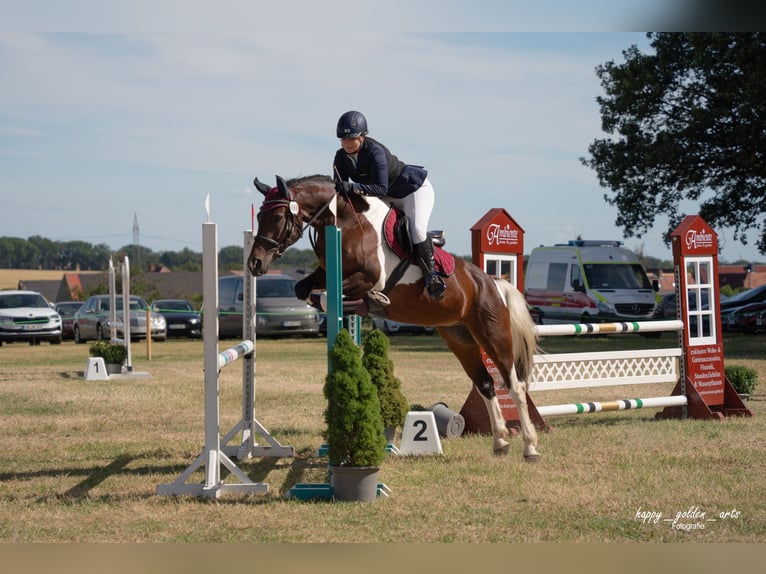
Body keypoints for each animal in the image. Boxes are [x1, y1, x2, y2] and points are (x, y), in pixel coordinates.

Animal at [249, 172, 544, 464]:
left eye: (277, 217)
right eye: (259, 216)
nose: (255, 263)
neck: (347, 221)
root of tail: (493, 282)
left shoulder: (368, 278)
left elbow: (338, 293)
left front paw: (369, 303)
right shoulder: (325, 274)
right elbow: (303, 289)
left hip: (493, 335)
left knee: (515, 385)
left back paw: (530, 448)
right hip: (461, 339)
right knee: (486, 384)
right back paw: (501, 442)